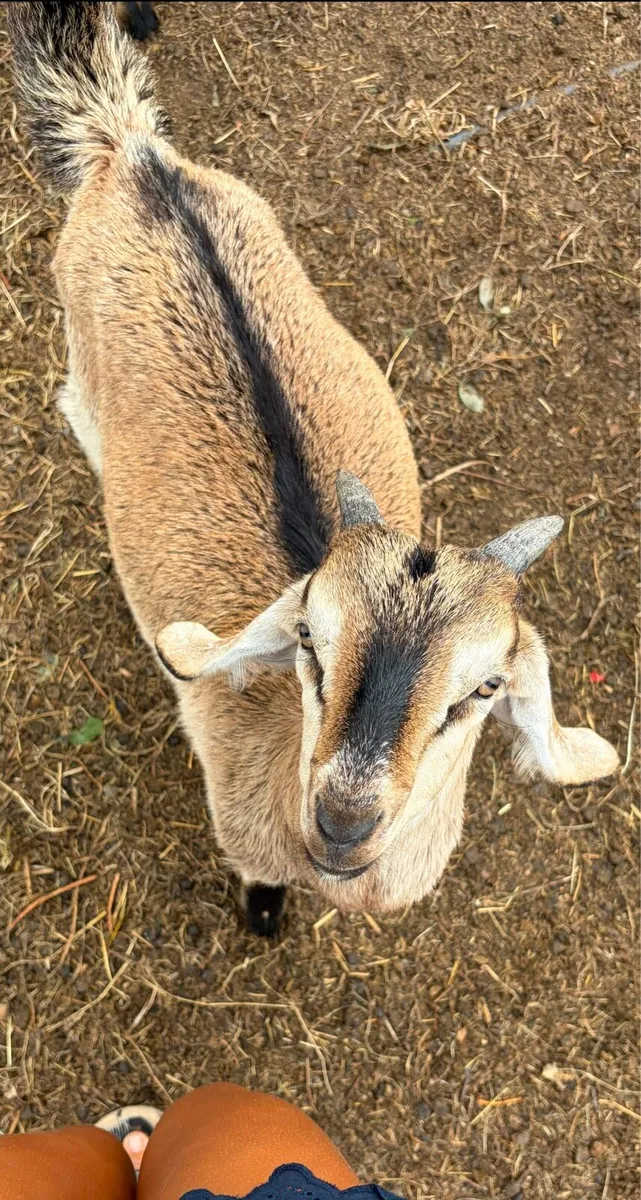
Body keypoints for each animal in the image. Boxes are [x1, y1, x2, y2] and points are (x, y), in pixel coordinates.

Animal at [7, 2, 619, 936]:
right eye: (308, 642)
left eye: (483, 688)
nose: (341, 820)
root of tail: (136, 155)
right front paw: (263, 916)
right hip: (78, 341)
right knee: (76, 409)